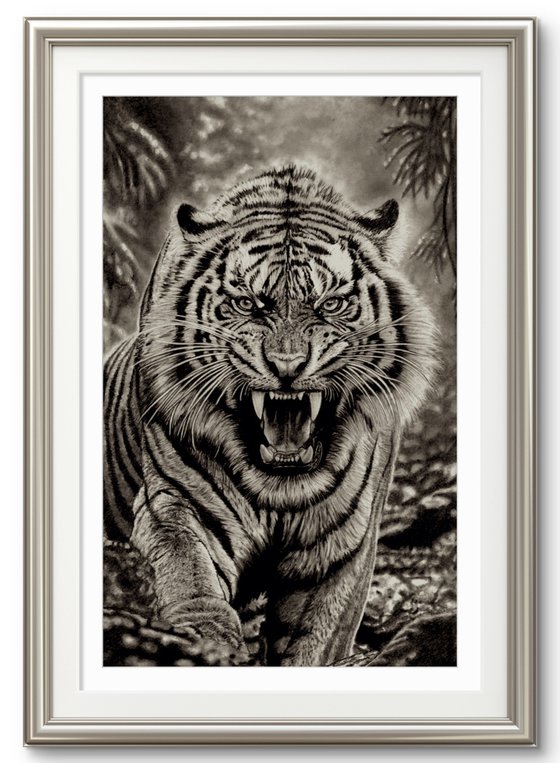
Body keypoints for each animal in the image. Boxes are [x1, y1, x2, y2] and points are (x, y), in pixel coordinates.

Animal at [104, 165, 438, 666]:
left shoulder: (343, 548)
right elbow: (190, 574)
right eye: (247, 304)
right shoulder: (176, 501)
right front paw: (204, 641)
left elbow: (312, 642)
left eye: (330, 304)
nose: (287, 365)